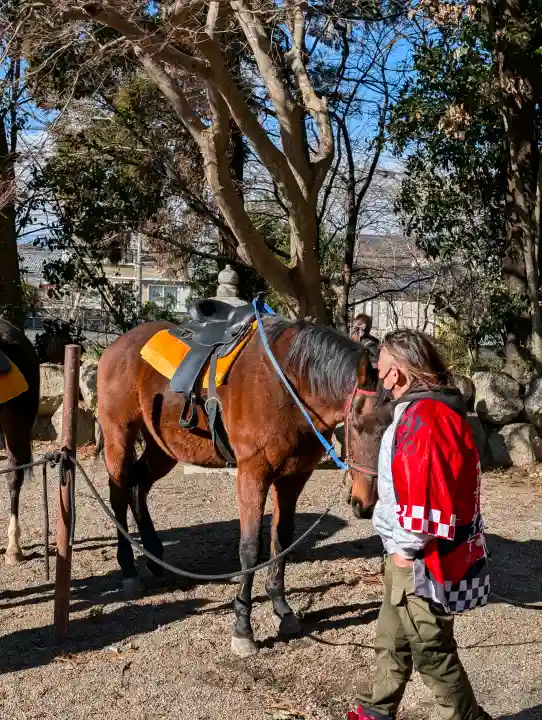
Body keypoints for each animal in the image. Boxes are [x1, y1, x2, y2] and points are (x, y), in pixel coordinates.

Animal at [97, 314, 383, 658]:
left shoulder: (294, 476)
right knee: (118, 493)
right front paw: (243, 629)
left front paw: (282, 609)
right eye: (358, 424)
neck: (288, 385)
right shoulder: (252, 473)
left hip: (163, 447)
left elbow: (281, 540)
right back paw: (128, 568)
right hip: (118, 436)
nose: (366, 503)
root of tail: (116, 347)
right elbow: (249, 548)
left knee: (139, 487)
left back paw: (154, 556)